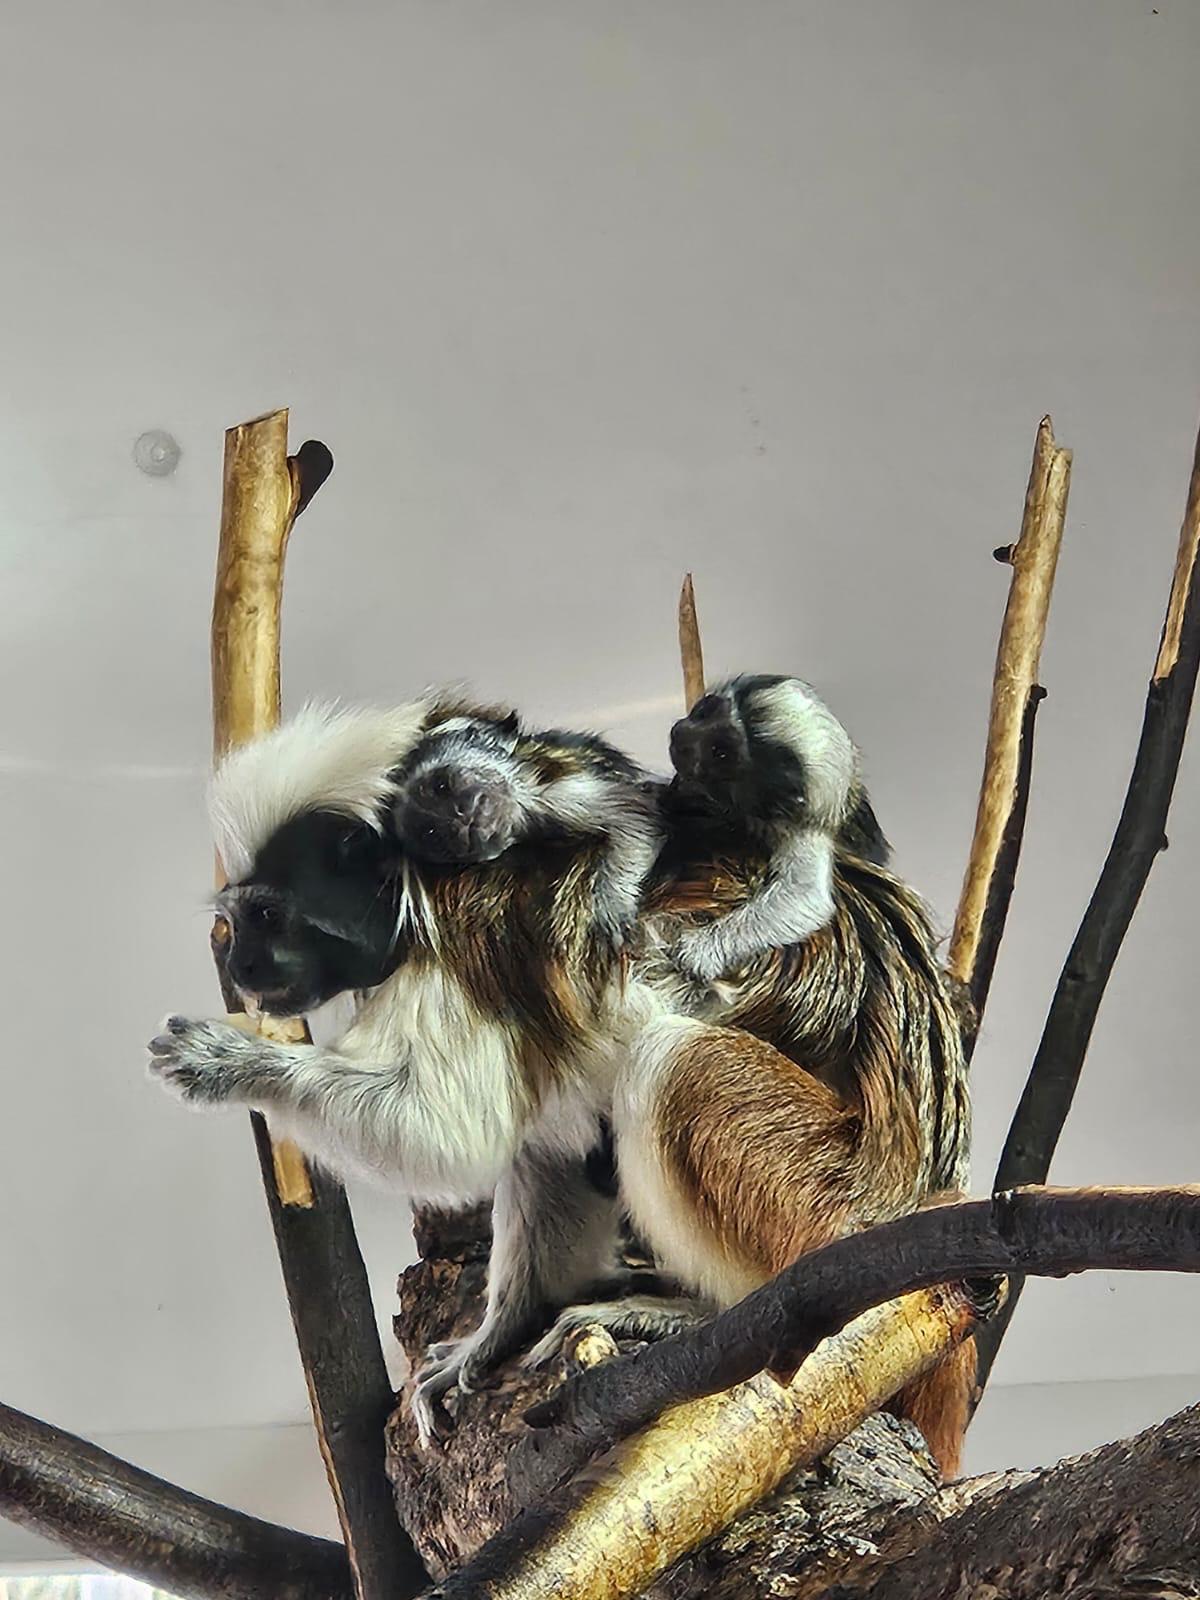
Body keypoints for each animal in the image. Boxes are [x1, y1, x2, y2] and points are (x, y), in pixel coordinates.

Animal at [147, 696, 665, 1447]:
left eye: (267, 917)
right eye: (236, 926)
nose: (240, 968)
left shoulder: (460, 942)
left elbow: (452, 1130)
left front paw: (229, 1063)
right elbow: (541, 1137)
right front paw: (498, 1333)